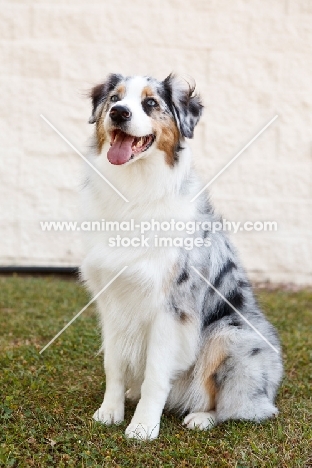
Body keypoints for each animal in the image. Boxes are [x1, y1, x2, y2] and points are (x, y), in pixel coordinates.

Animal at [80, 72, 282, 438]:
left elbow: (156, 375)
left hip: (230, 335)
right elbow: (113, 364)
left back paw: (202, 417)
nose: (119, 113)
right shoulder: (111, 300)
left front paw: (143, 427)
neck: (134, 188)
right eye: (114, 98)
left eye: (150, 103)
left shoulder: (172, 307)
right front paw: (110, 411)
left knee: (246, 408)